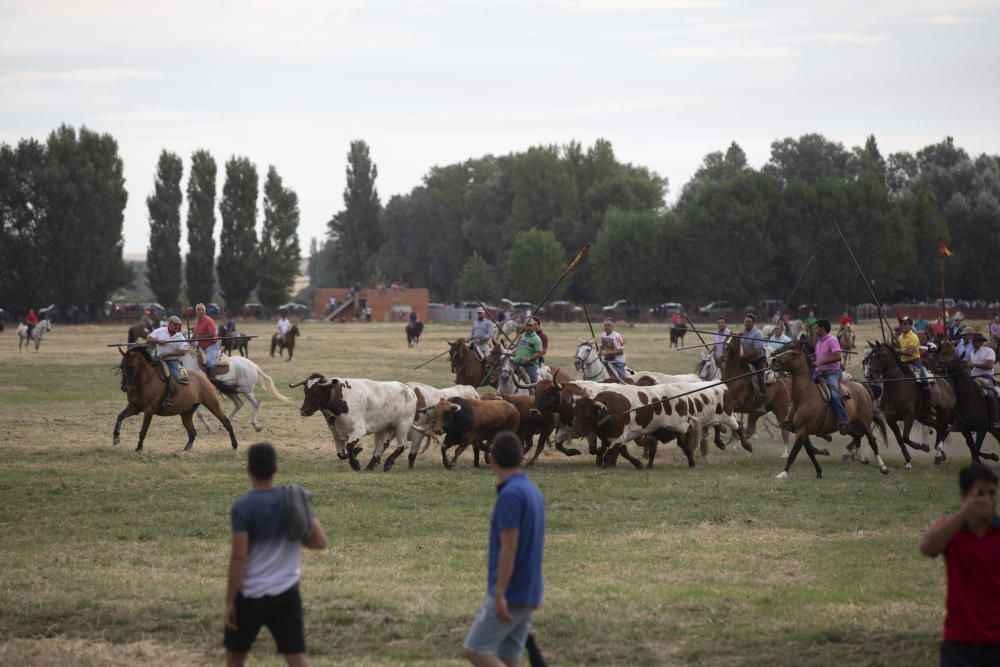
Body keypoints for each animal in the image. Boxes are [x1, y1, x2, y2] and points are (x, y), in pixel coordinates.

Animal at [768, 342, 888, 478]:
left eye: (793, 353)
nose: (773, 360)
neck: (805, 396)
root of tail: (862, 387)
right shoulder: (801, 430)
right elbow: (809, 452)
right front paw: (819, 471)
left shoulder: (803, 430)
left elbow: (794, 452)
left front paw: (783, 473)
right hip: (848, 426)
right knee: (857, 436)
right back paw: (861, 458)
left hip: (865, 422)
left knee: (872, 440)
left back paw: (882, 466)